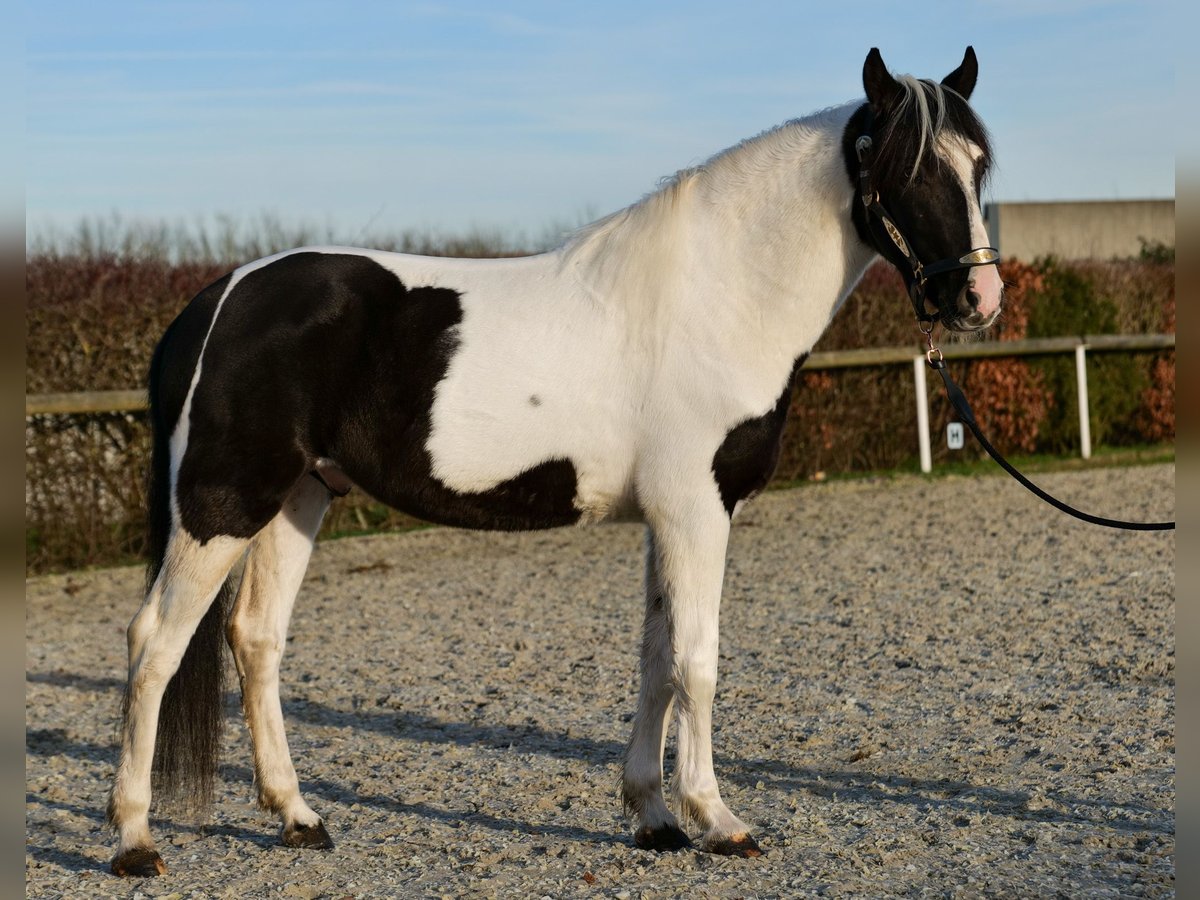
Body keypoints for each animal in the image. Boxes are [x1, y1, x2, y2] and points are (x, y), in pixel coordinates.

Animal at [108, 45, 1003, 878]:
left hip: (298, 497)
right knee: (156, 643)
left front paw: (654, 818)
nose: (978, 300)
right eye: (908, 167)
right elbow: (698, 661)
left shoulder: (667, 520)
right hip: (223, 503)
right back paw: (134, 839)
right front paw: (718, 820)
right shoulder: (697, 509)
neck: (713, 297)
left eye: (979, 164)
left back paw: (298, 817)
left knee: (255, 639)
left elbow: (656, 661)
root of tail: (216, 300)